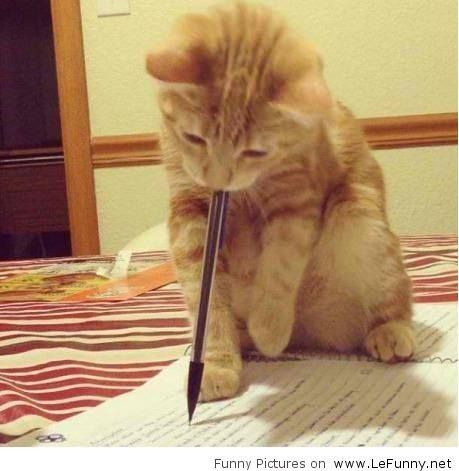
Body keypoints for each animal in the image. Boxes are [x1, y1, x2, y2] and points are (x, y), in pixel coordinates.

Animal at [147, 1, 416, 404]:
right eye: (193, 137)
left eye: (256, 150)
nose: (219, 178)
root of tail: (307, 333)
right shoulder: (190, 216)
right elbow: (206, 304)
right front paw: (216, 363)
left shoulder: (298, 199)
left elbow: (279, 267)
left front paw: (270, 327)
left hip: (362, 223)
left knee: (395, 300)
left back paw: (388, 332)